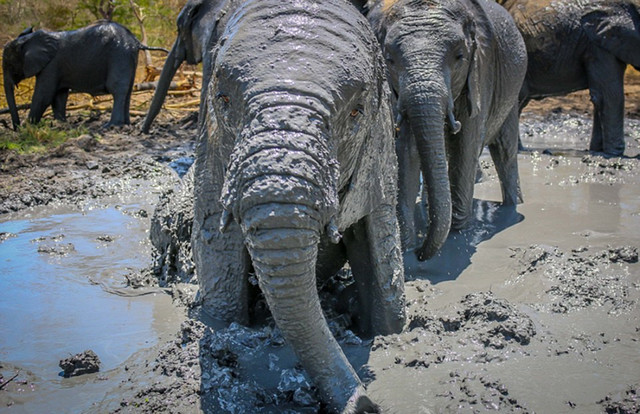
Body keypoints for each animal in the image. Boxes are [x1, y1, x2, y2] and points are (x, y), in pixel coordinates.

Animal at [1, 21, 168, 129]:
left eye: (9, 64)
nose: (15, 127)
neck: (30, 39)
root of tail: (135, 40)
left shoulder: (51, 65)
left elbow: (44, 95)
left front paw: (28, 127)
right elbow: (59, 96)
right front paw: (61, 125)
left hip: (119, 54)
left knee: (117, 89)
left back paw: (110, 126)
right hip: (128, 56)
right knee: (128, 90)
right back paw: (125, 124)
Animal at [364, 0, 524, 260]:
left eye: (459, 56)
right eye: (389, 60)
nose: (421, 254)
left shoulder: (481, 73)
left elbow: (464, 148)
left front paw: (454, 241)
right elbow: (405, 151)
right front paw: (408, 248)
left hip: (512, 94)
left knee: (505, 152)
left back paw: (511, 209)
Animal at [498, 0, 640, 156]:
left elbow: (600, 97)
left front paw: (597, 150)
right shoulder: (598, 46)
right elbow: (609, 96)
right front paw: (614, 154)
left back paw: (520, 150)